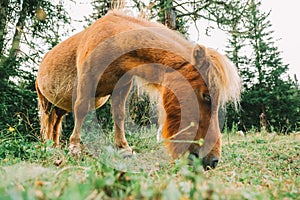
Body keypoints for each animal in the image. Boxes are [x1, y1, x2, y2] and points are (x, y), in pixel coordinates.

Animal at [35, 10, 241, 170]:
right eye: (206, 96)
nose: (213, 161)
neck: (112, 40)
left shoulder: (122, 86)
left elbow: (119, 115)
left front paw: (123, 148)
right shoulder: (88, 80)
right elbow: (81, 109)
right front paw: (75, 147)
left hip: (59, 108)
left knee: (55, 125)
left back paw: (54, 145)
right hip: (46, 103)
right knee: (48, 123)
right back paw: (49, 147)